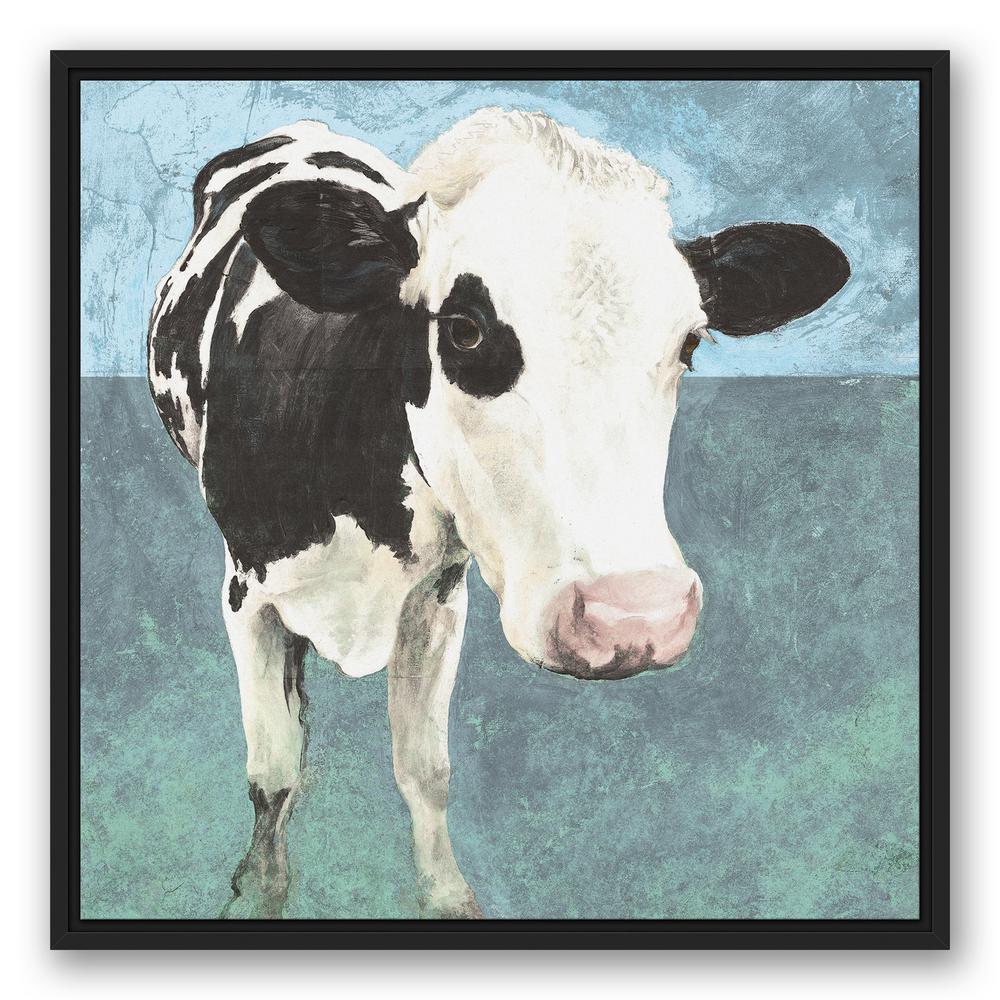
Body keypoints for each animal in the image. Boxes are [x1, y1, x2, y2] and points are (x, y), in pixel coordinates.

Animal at [148, 109, 849, 919]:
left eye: (690, 342)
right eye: (465, 329)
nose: (634, 616)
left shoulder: (436, 598)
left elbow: (425, 769)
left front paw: (447, 896)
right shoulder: (247, 597)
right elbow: (273, 774)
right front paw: (258, 891)